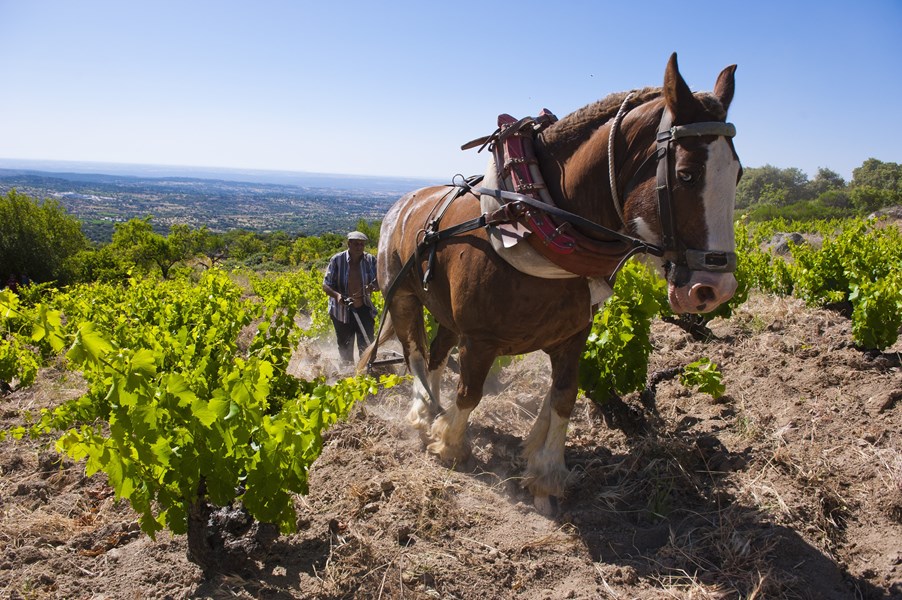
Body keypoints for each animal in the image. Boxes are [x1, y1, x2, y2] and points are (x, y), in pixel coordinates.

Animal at [360, 54, 740, 516]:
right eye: (686, 174)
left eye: (738, 174)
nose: (715, 289)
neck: (535, 221)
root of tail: (401, 204)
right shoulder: (480, 340)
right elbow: (470, 393)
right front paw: (449, 444)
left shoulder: (573, 336)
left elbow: (563, 398)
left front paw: (545, 473)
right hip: (401, 296)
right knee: (414, 352)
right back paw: (421, 413)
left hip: (446, 314)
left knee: (434, 355)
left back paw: (434, 408)